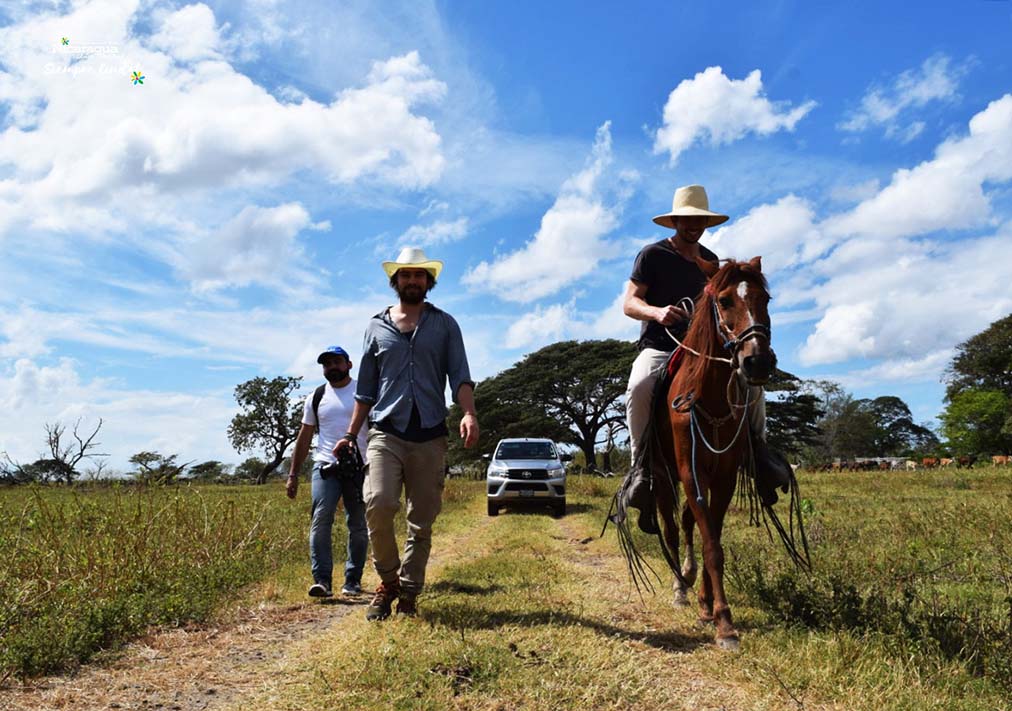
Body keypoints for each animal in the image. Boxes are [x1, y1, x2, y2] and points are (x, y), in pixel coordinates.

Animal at [655, 255, 781, 651]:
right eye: (724, 301)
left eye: (765, 300)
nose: (758, 362)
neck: (708, 396)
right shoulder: (691, 472)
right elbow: (711, 544)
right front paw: (724, 623)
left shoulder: (722, 476)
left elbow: (714, 533)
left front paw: (709, 606)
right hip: (663, 475)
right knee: (670, 526)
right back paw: (679, 586)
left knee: (687, 521)